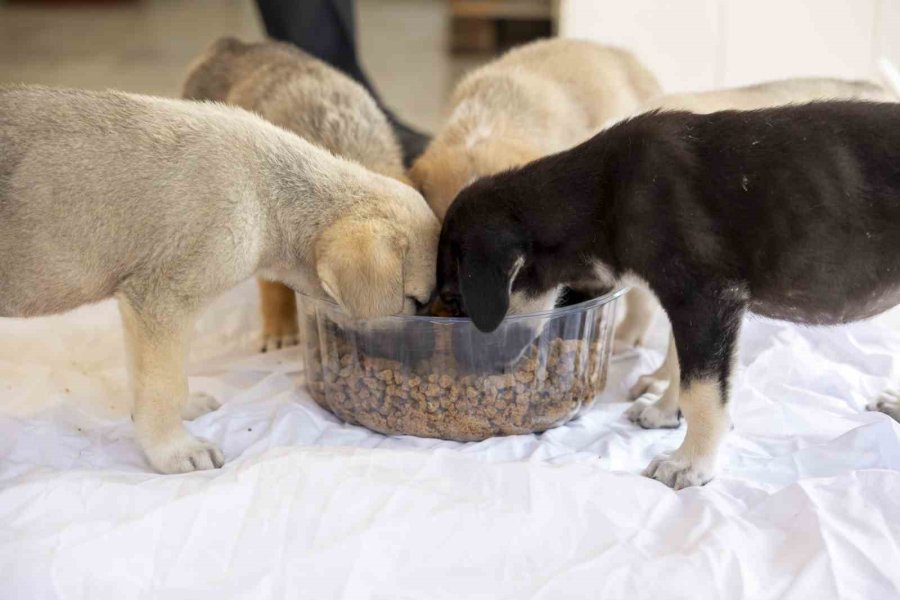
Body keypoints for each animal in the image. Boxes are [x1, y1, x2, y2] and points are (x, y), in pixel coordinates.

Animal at [0, 85, 438, 474]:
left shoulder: (142, 311)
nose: (413, 364)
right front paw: (174, 450)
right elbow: (164, 384)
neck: (267, 194)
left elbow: (155, 375)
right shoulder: (162, 301)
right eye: (415, 300)